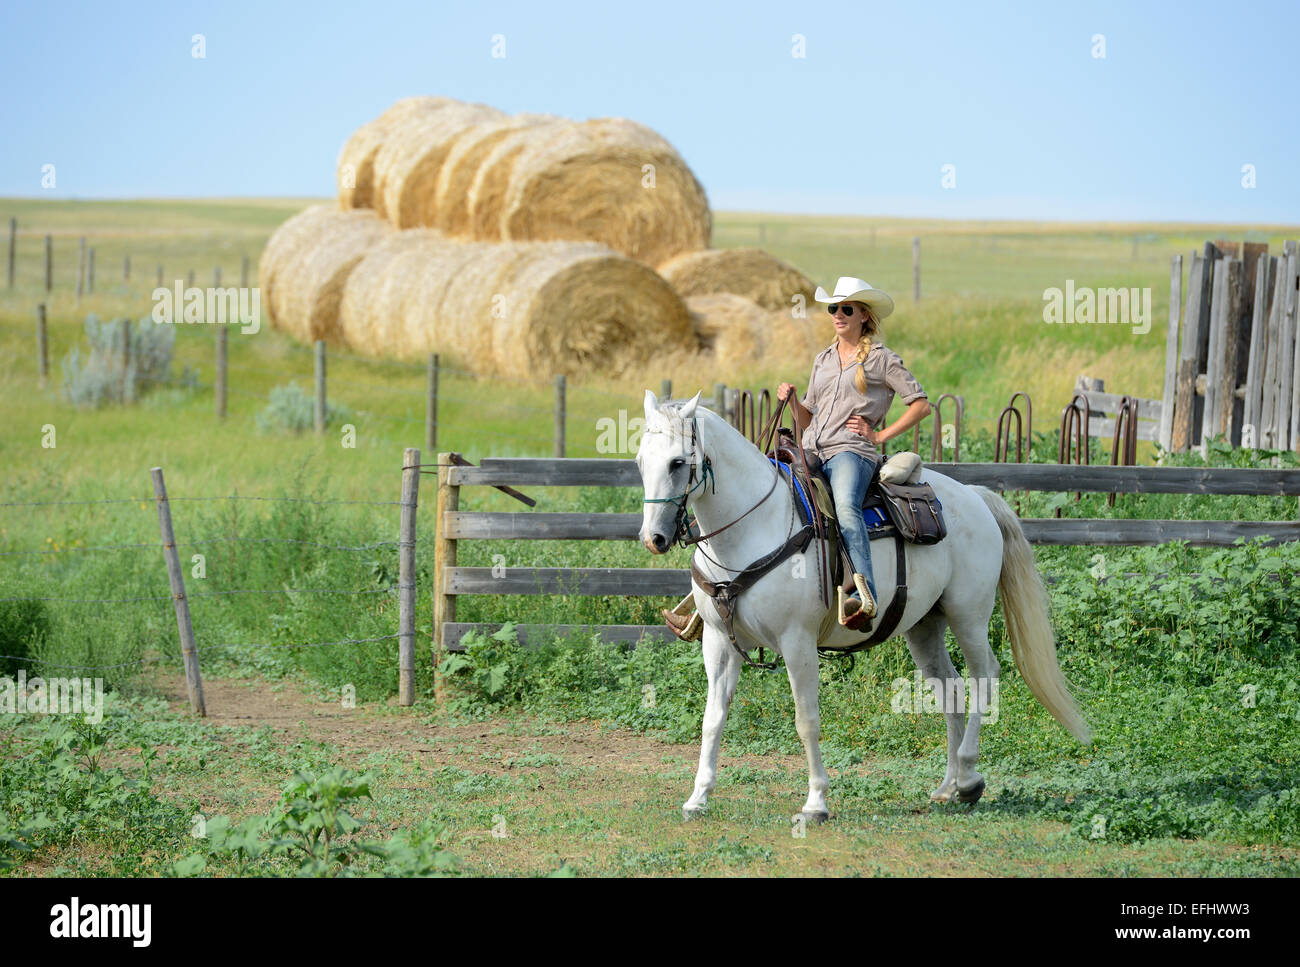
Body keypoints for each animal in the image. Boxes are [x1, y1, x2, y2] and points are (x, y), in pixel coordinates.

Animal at [634, 389, 1092, 821]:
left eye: (678, 462)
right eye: (640, 462)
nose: (653, 538)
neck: (752, 528)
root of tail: (976, 497)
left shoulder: (797, 642)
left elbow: (806, 720)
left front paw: (816, 802)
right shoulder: (718, 641)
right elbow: (712, 720)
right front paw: (698, 798)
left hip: (969, 616)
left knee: (984, 677)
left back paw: (968, 778)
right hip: (925, 626)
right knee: (951, 689)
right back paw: (948, 786)